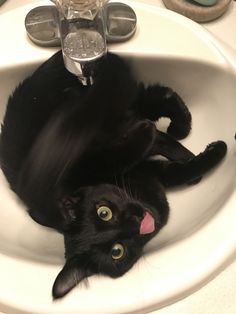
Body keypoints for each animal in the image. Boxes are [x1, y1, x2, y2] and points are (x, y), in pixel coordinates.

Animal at [0, 50, 227, 298]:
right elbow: (180, 170)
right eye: (117, 252)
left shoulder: (87, 156)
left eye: (103, 212)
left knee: (152, 99)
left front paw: (194, 149)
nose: (139, 222)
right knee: (152, 97)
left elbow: (131, 150)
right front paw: (205, 156)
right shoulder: (153, 174)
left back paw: (179, 127)